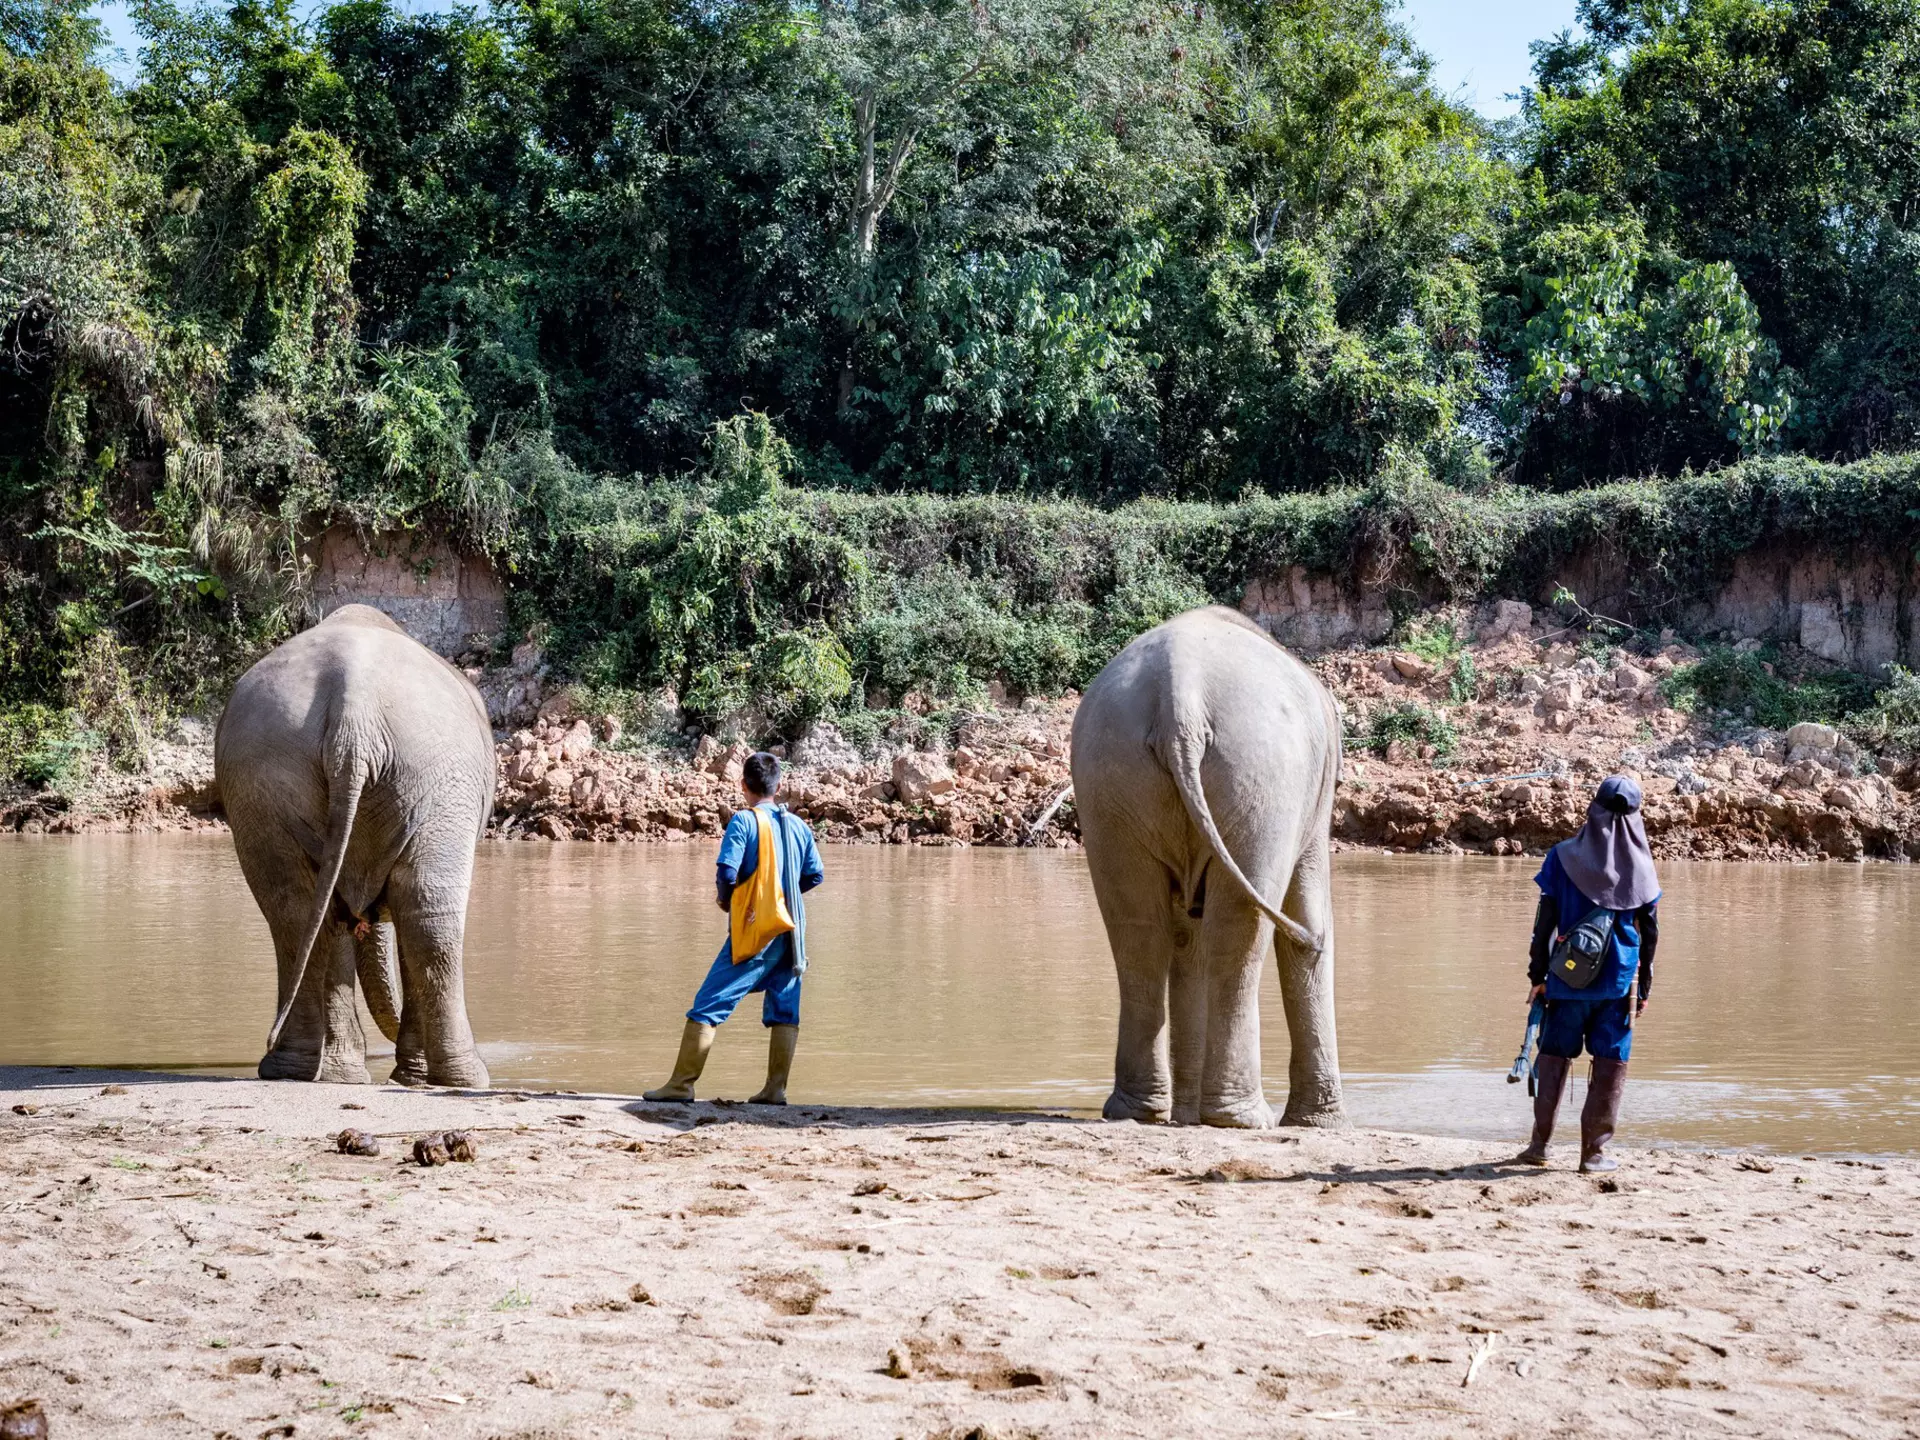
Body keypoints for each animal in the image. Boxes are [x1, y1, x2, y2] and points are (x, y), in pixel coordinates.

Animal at [214, 604, 495, 1087]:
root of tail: (354, 711)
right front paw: (410, 1076)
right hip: (439, 779)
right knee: (427, 910)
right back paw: (465, 1079)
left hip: (262, 780)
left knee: (296, 912)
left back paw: (297, 1071)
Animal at [1070, 606, 1345, 1129]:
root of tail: (1181, 694)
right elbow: (1307, 926)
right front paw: (1322, 1126)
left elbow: (1186, 938)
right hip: (1262, 781)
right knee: (1239, 934)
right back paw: (1244, 1118)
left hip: (1110, 780)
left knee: (1138, 931)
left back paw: (1139, 1112)